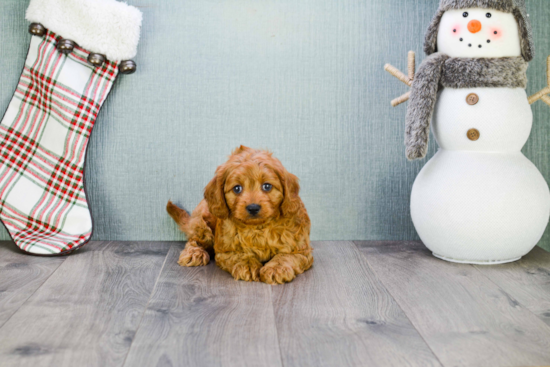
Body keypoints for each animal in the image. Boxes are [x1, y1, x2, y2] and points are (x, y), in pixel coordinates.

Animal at [168, 146, 312, 284]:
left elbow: (286, 256)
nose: (253, 208)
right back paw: (194, 253)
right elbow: (239, 255)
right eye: (237, 188)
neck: (258, 228)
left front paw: (276, 268)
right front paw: (248, 265)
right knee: (194, 240)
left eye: (267, 186)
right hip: (202, 223)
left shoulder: (301, 250)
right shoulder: (224, 251)